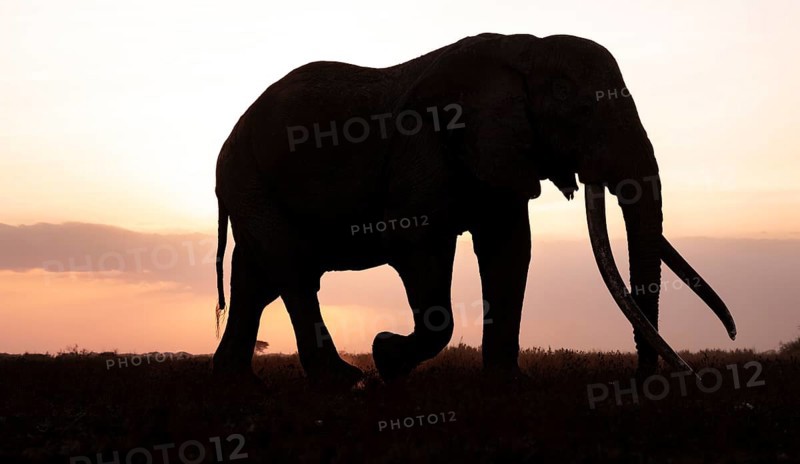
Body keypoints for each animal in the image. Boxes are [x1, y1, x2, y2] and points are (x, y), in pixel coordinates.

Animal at [211, 32, 736, 384]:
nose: (650, 379)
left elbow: (510, 250)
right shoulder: (423, 146)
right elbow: (419, 246)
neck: (527, 50)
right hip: (248, 178)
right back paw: (344, 381)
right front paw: (386, 357)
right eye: (581, 112)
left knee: (256, 279)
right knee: (293, 271)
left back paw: (237, 382)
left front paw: (509, 384)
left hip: (251, 184)